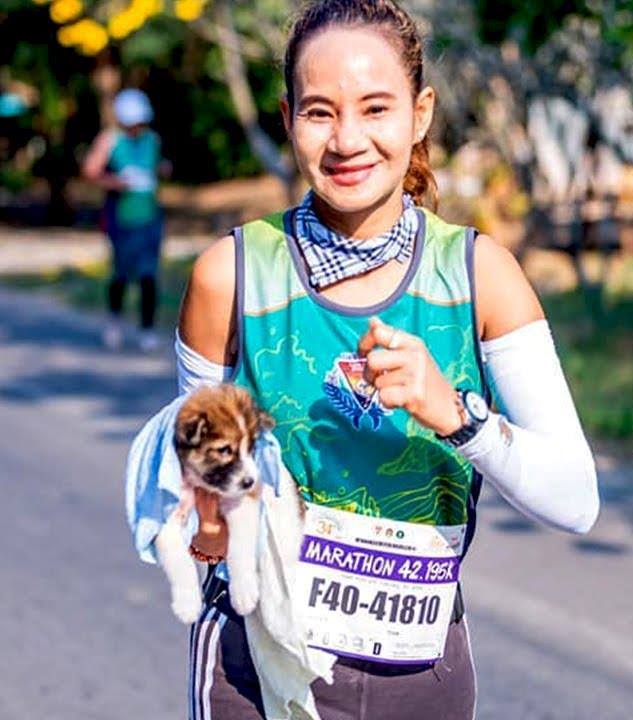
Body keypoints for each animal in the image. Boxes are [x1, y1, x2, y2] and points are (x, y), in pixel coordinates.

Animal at [154, 382, 272, 624]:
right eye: (225, 450)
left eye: (251, 448)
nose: (250, 482)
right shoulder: (164, 516)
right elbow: (179, 560)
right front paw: (187, 604)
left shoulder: (241, 503)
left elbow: (239, 546)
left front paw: (244, 591)